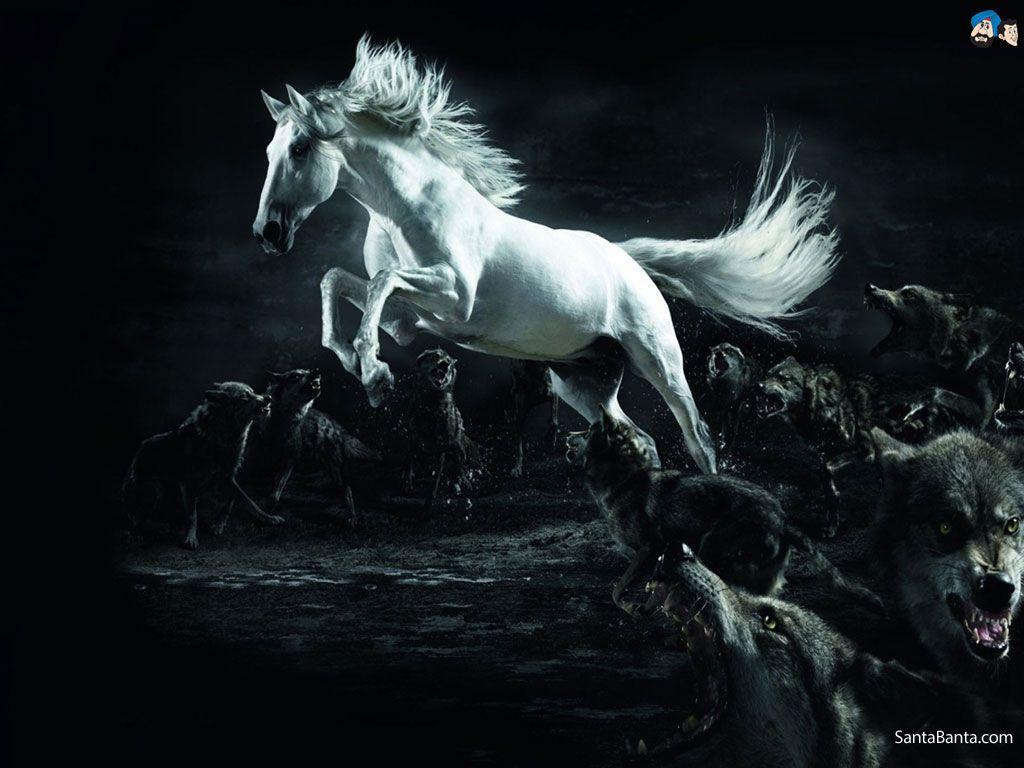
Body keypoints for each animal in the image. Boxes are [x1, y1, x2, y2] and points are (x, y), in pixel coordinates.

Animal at [253, 36, 840, 474]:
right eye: (268, 150)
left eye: (299, 149)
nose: (267, 232)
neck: (408, 207)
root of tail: (629, 262)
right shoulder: (410, 318)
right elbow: (337, 280)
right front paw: (360, 365)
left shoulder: (453, 299)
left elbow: (379, 282)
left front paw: (373, 373)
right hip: (584, 382)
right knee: (643, 439)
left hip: (659, 361)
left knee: (698, 437)